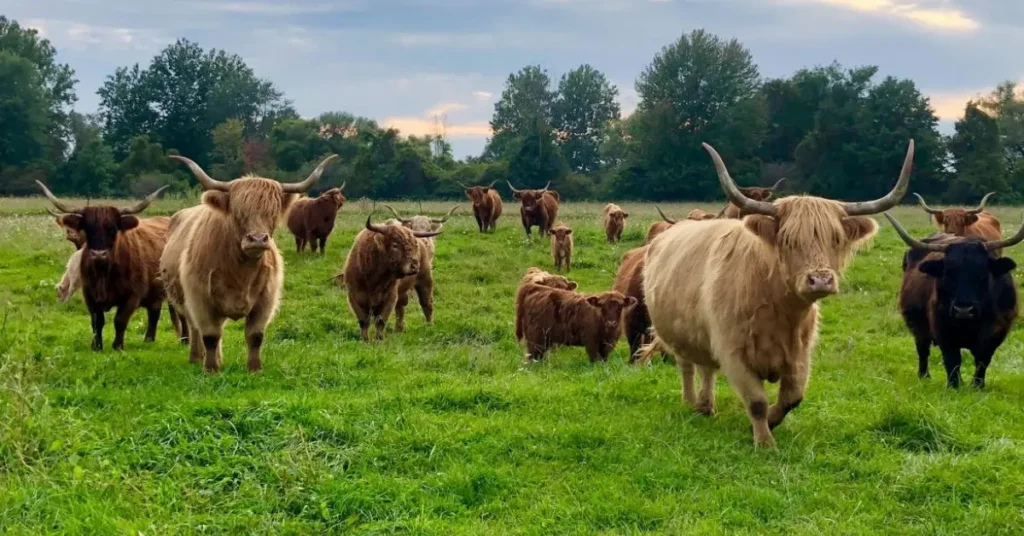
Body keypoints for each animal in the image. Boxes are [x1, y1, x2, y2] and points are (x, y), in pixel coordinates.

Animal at [37, 181, 177, 351]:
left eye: (112, 229)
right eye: (87, 228)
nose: (99, 254)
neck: (104, 274)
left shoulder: (132, 295)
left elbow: (120, 320)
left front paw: (118, 346)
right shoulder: (89, 295)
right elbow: (97, 321)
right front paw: (96, 346)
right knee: (154, 312)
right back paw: (149, 340)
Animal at [163, 154, 339, 372]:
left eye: (273, 213)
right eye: (238, 213)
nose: (257, 239)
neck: (240, 271)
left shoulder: (266, 299)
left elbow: (255, 336)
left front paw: (254, 369)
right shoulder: (200, 299)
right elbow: (210, 335)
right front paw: (211, 369)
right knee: (197, 329)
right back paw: (197, 357)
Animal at [640, 140, 914, 448]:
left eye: (835, 239)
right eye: (788, 240)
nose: (821, 280)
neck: (778, 309)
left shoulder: (799, 353)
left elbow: (792, 397)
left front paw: (770, 421)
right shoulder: (733, 352)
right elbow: (756, 401)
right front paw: (765, 443)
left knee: (706, 368)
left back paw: (706, 406)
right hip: (672, 333)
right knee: (687, 366)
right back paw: (690, 402)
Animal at [887, 214, 1024, 388]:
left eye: (983, 273)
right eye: (947, 273)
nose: (963, 310)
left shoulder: (996, 333)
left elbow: (983, 361)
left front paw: (977, 385)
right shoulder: (943, 331)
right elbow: (952, 360)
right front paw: (954, 385)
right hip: (917, 327)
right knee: (923, 350)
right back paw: (924, 376)